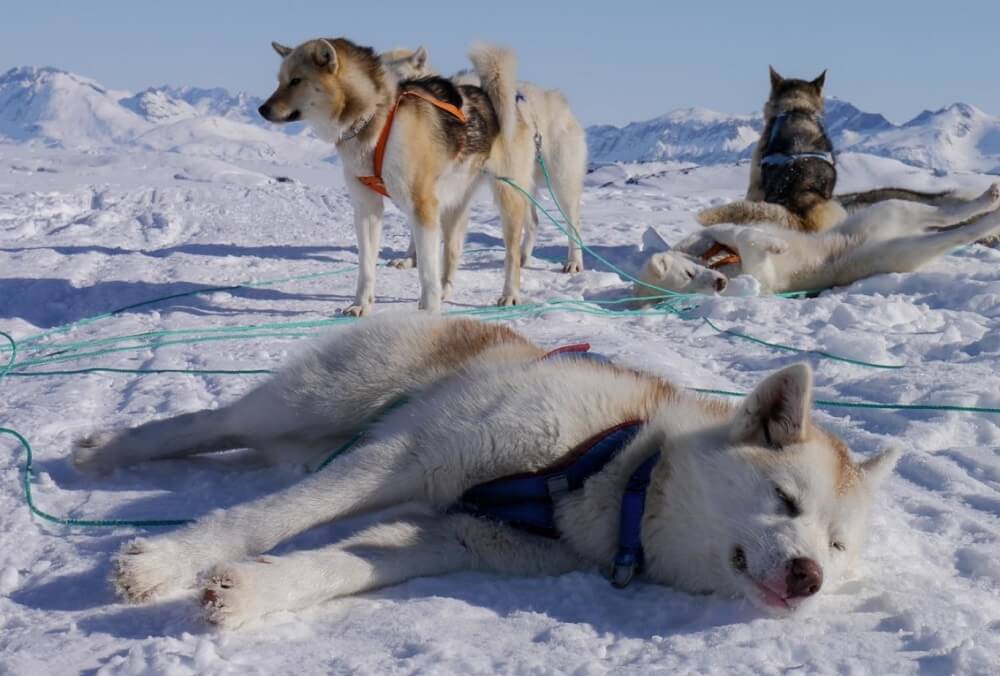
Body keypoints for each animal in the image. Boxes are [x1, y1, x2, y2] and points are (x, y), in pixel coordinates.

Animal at [258, 41, 540, 316]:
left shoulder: (422, 207)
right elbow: (366, 266)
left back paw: (510, 294)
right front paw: (361, 304)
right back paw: (445, 289)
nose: (262, 109)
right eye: (279, 80)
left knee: (511, 254)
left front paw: (429, 311)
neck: (375, 117)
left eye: (296, 80)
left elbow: (426, 270)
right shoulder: (367, 208)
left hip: (507, 198)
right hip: (452, 205)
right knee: (452, 250)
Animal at [632, 184, 1000, 302]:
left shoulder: (730, 235)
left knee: (950, 212)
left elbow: (735, 231)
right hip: (907, 247)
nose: (720, 284)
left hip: (895, 210)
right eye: (686, 297)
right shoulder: (762, 278)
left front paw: (772, 243)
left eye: (689, 275)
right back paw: (990, 218)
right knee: (957, 232)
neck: (723, 263)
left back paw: (988, 199)